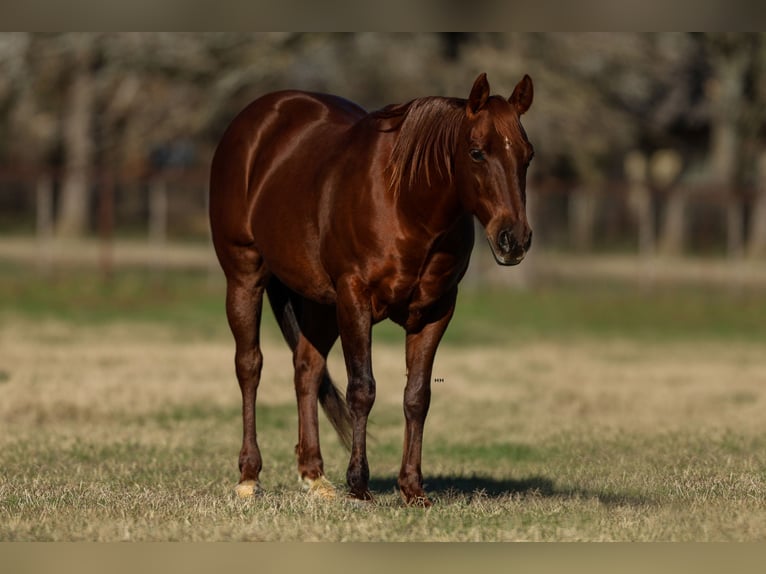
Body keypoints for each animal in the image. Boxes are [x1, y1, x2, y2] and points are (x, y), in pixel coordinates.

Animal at [208, 72, 536, 508]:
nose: (513, 239)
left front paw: (412, 488)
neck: (407, 204)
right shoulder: (355, 298)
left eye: (527, 155)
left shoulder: (436, 311)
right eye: (477, 152)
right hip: (245, 276)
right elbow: (362, 389)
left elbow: (417, 396)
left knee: (307, 369)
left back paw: (315, 476)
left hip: (319, 303)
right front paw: (359, 484)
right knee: (249, 366)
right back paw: (249, 476)